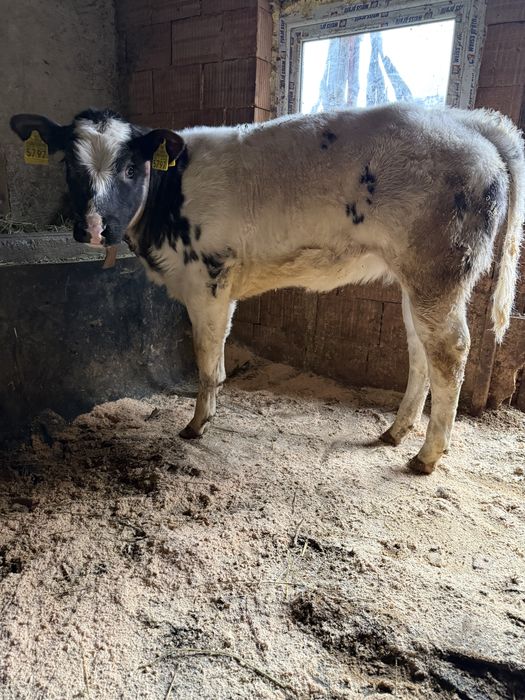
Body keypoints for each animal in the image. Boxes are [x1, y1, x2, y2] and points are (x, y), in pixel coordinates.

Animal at [10, 103, 525, 473]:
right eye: (70, 167)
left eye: (131, 169)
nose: (95, 229)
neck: (166, 201)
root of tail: (469, 122)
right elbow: (216, 356)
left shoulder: (208, 278)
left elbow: (207, 361)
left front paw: (196, 425)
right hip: (415, 279)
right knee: (420, 350)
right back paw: (396, 432)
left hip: (439, 271)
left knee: (451, 351)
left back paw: (426, 456)